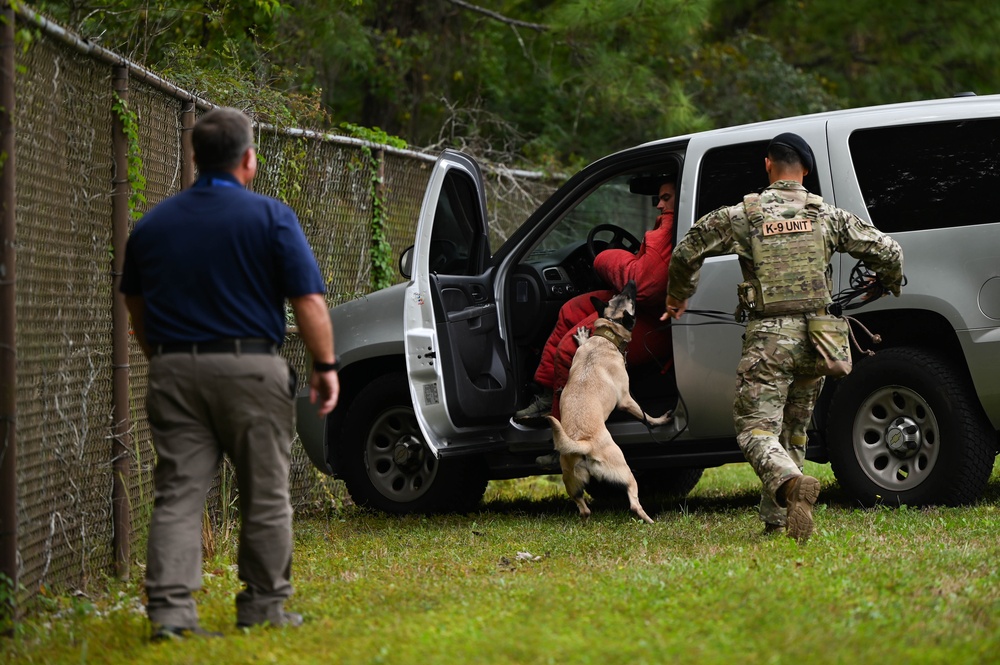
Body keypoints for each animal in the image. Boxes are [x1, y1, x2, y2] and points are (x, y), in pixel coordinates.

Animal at [548, 280, 672, 524]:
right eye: (631, 300)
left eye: (621, 294)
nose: (631, 282)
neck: (605, 338)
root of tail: (583, 444)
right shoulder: (626, 399)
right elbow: (646, 416)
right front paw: (659, 420)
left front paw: (582, 336)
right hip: (625, 470)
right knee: (634, 502)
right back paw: (650, 520)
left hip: (570, 481)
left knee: (582, 507)